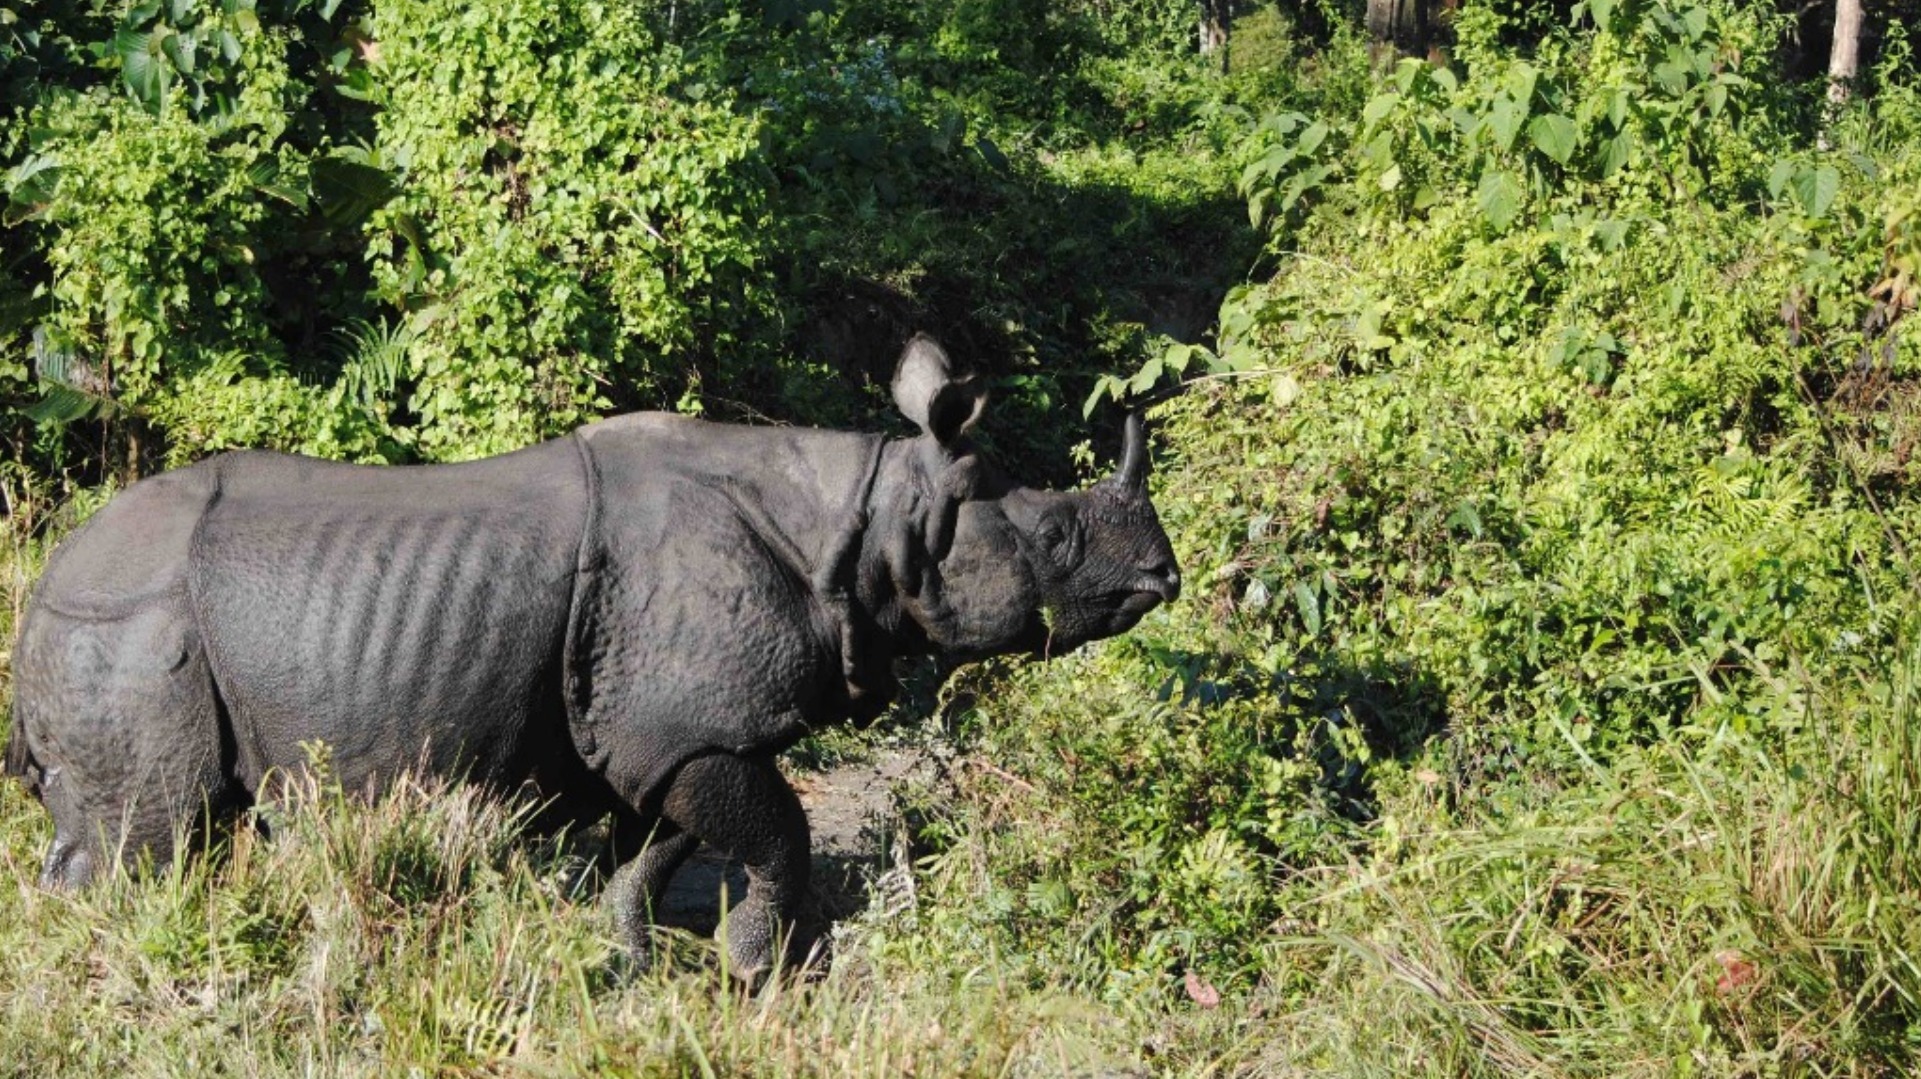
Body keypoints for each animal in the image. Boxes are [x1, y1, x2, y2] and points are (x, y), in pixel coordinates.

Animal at [3, 335, 1179, 976]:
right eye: (1054, 535)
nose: (1161, 576)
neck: (875, 519)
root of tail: (44, 590)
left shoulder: (659, 732)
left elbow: (657, 848)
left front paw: (630, 962)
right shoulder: (686, 724)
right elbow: (781, 831)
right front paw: (759, 973)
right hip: (126, 621)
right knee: (147, 841)